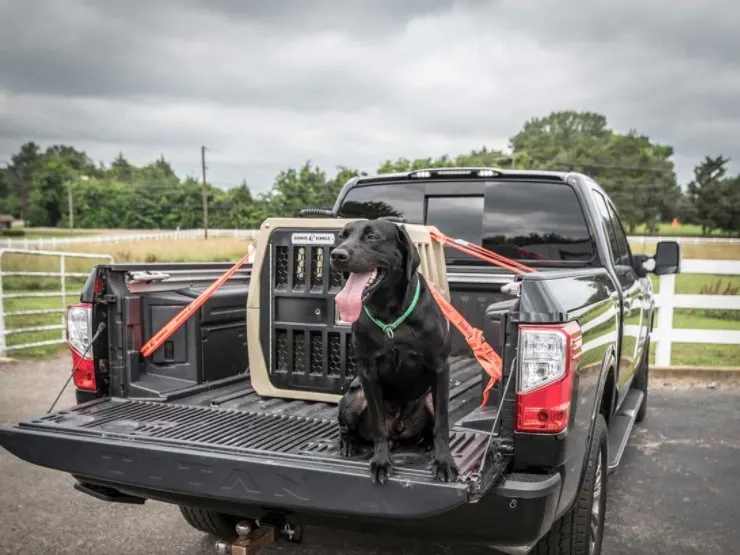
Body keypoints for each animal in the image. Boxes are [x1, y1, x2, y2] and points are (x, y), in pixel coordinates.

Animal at [330, 219, 456, 484]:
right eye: (342, 236)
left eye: (372, 237)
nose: (337, 254)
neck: (391, 316)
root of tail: (398, 429)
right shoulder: (368, 372)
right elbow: (378, 426)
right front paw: (380, 461)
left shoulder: (440, 367)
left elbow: (442, 424)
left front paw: (443, 461)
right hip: (355, 396)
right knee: (347, 428)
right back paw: (348, 443)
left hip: (428, 397)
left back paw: (427, 443)